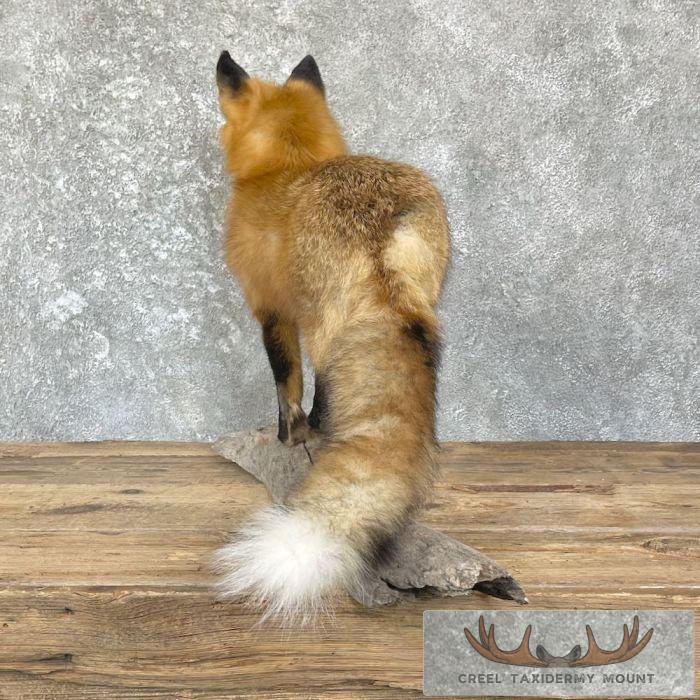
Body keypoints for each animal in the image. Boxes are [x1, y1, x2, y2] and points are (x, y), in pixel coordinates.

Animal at [213, 52, 450, 622]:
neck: (288, 166)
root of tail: (381, 226)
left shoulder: (272, 310)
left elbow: (288, 383)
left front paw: (288, 437)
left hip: (324, 322)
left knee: (323, 380)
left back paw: (319, 435)